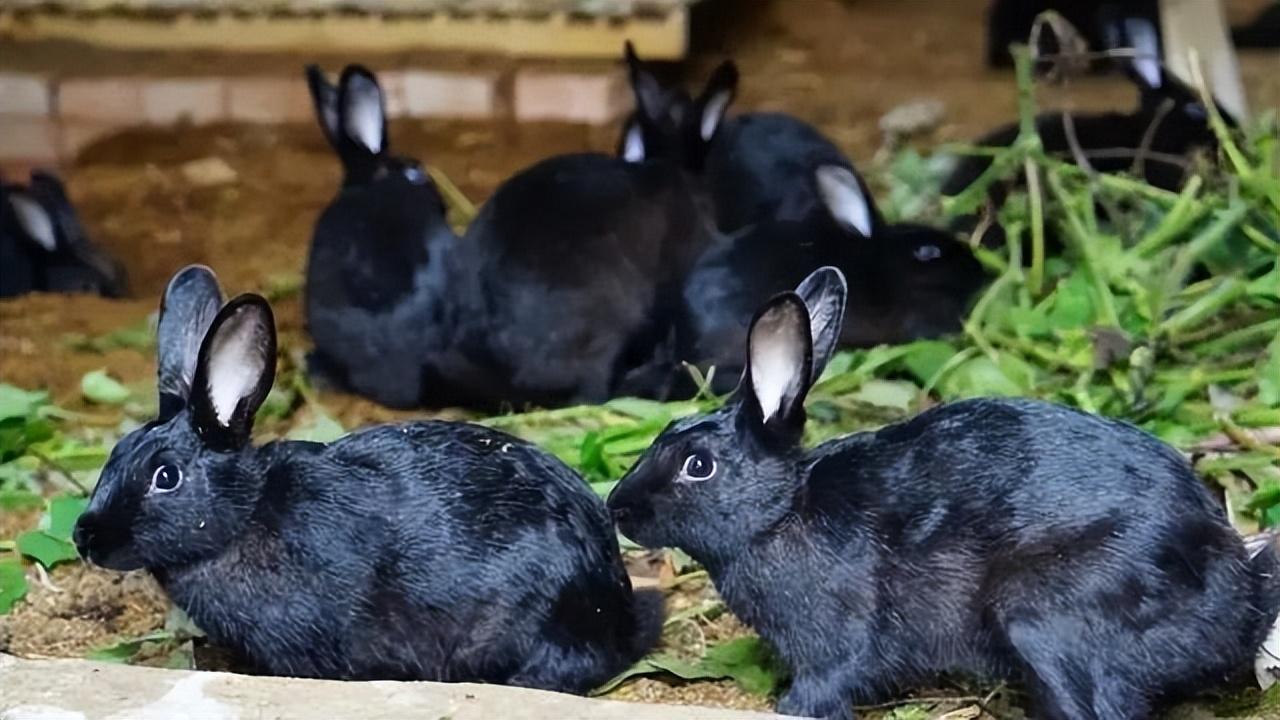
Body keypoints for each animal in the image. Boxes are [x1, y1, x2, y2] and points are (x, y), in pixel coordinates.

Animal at [606, 265, 1280, 717]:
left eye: (698, 466)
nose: (618, 507)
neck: (781, 513)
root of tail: (1238, 609)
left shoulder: (837, 641)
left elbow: (830, 679)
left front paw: (790, 706)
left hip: (1042, 614)